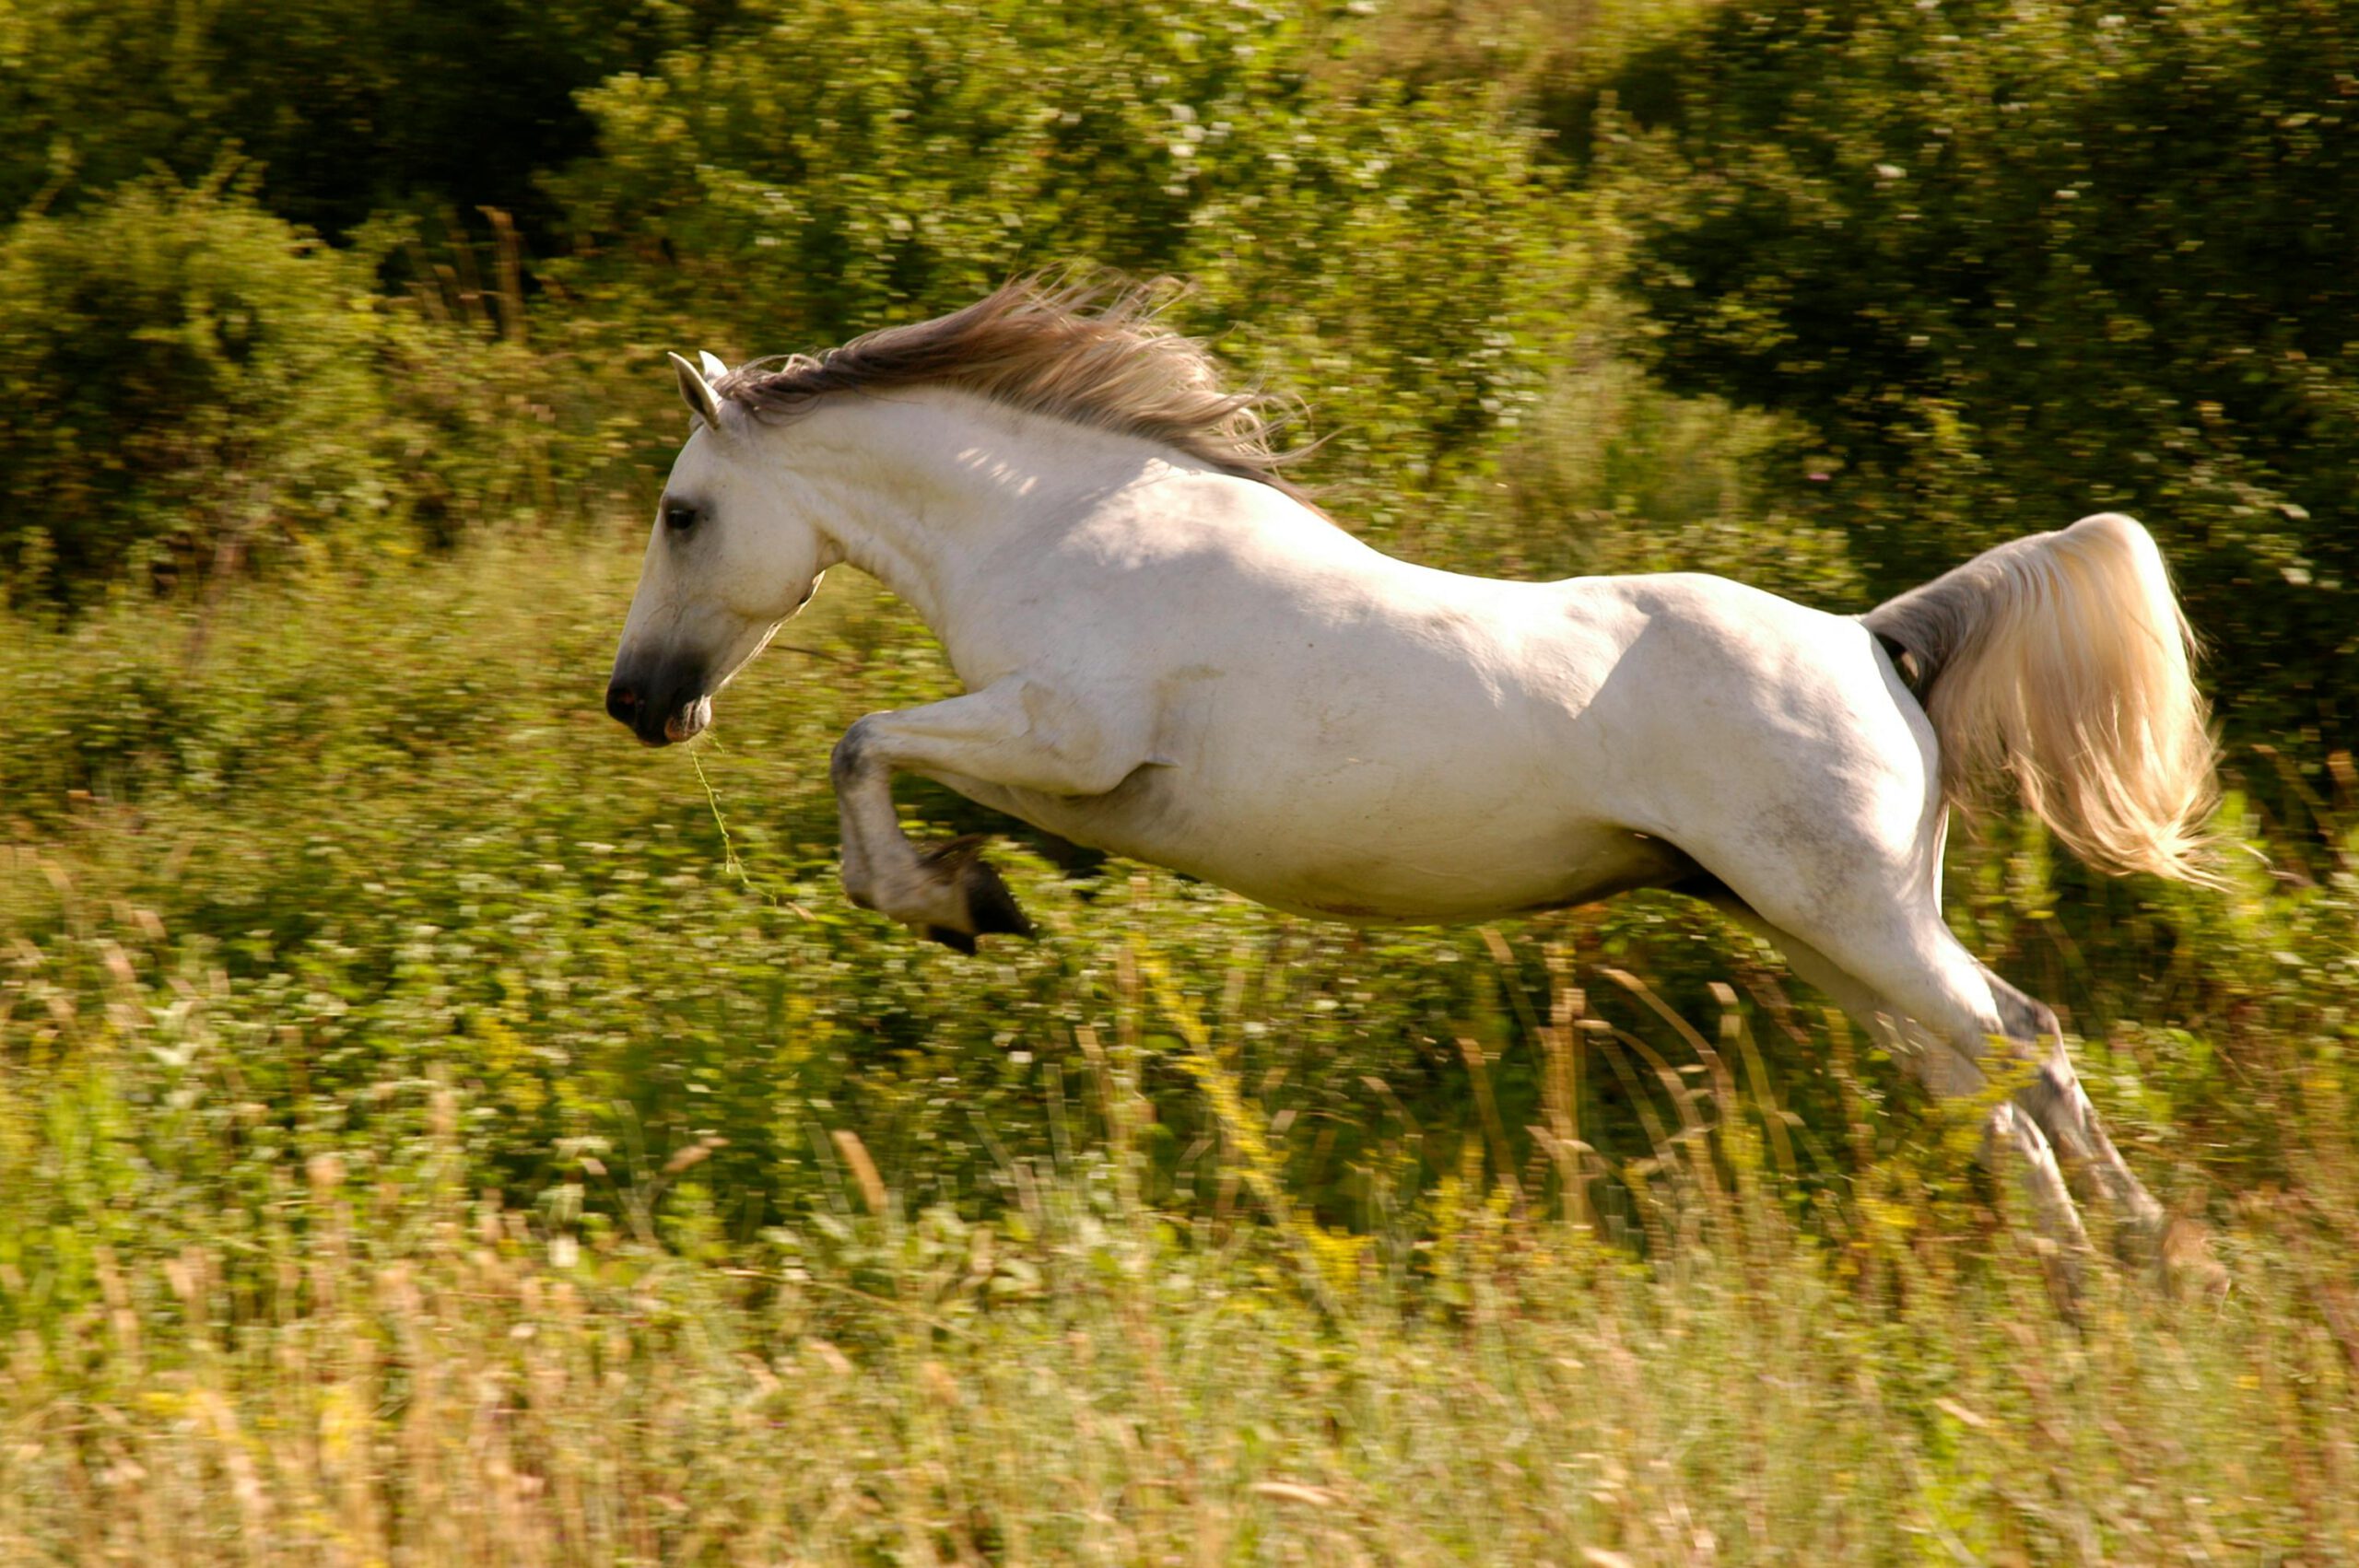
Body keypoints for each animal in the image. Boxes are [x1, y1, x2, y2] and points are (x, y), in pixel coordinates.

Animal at [604, 281, 2208, 1254]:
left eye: (683, 513)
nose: (637, 702)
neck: (1067, 528)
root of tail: (1874, 638)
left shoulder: (1069, 734)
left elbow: (863, 740)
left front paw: (950, 899)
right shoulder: (1056, 768)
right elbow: (898, 765)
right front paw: (973, 888)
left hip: (1855, 918)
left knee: (2026, 1038)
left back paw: (2145, 1261)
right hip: (1820, 930)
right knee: (1975, 1077)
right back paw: (2065, 1273)